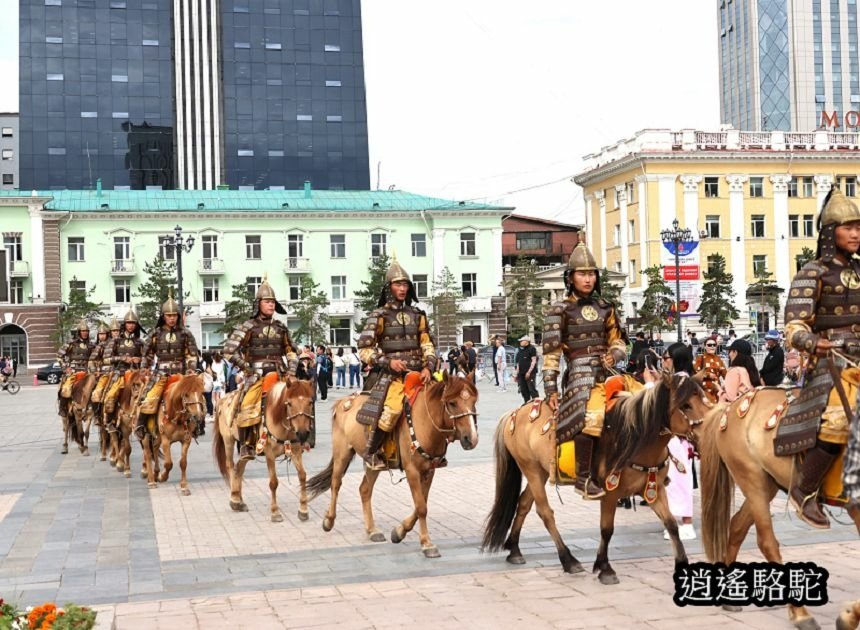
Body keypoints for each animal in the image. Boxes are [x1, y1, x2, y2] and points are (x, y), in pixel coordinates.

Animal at [212, 378, 316, 520]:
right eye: (289, 403)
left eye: (310, 402)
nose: (303, 433)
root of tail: (223, 399)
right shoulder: (269, 454)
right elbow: (273, 482)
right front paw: (275, 512)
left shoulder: (295, 452)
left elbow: (302, 476)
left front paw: (303, 510)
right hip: (228, 440)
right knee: (231, 466)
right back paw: (234, 499)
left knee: (240, 466)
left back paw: (238, 500)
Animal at [304, 372, 480, 560]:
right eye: (452, 403)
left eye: (473, 402)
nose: (471, 439)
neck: (425, 422)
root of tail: (343, 401)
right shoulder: (412, 471)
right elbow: (421, 507)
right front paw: (427, 544)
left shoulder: (429, 471)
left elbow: (421, 504)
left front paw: (399, 532)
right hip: (342, 453)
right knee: (336, 483)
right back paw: (329, 520)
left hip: (373, 463)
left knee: (364, 490)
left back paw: (372, 530)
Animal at [484, 372, 712, 584]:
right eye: (686, 405)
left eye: (705, 399)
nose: (707, 435)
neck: (637, 437)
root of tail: (515, 412)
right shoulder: (610, 494)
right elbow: (606, 529)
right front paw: (605, 568)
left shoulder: (654, 490)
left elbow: (671, 525)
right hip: (530, 469)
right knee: (545, 512)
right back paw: (568, 559)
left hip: (540, 472)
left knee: (524, 504)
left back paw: (515, 549)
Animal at [700, 390, 860, 630]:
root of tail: (731, 407)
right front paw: (848, 618)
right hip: (751, 478)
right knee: (766, 542)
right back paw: (802, 615)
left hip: (767, 484)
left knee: (737, 526)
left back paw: (730, 597)